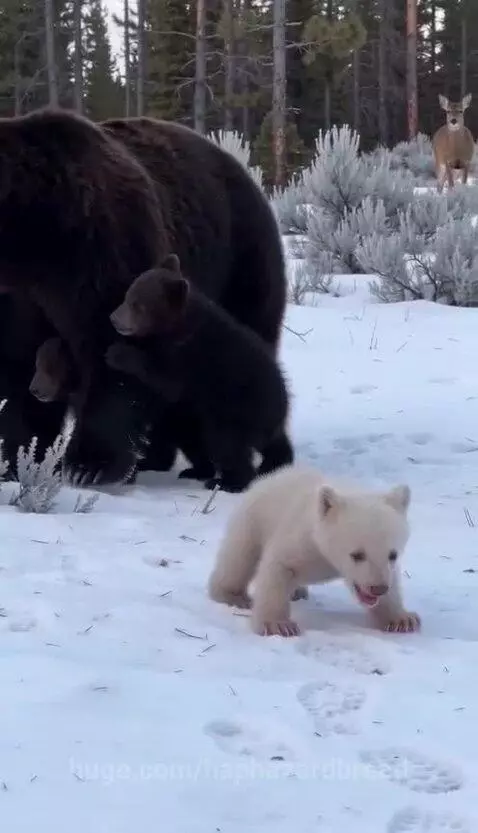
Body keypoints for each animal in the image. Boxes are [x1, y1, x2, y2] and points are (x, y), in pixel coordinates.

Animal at [105, 253, 294, 493]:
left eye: (138, 304)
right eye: (128, 294)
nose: (114, 318)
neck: (177, 328)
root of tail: (280, 407)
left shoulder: (191, 358)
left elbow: (165, 379)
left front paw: (116, 353)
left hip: (234, 410)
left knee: (227, 445)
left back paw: (227, 481)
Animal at [208, 465, 420, 637]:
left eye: (393, 554)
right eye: (357, 554)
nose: (378, 588)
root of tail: (270, 478)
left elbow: (393, 583)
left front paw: (403, 619)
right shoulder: (301, 538)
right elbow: (278, 567)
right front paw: (278, 625)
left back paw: (298, 592)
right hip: (252, 519)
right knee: (239, 557)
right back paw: (232, 595)